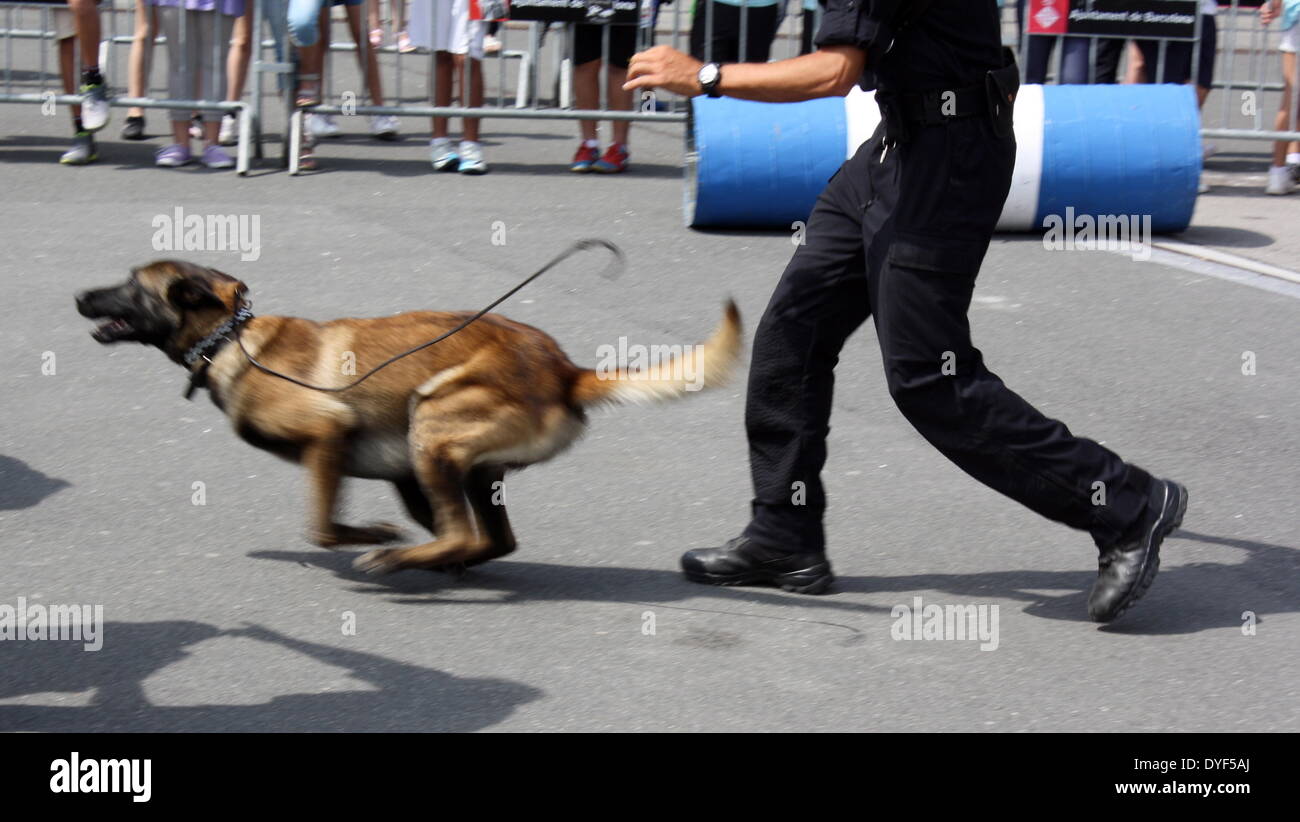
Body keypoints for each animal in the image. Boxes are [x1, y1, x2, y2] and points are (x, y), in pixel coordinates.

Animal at [73, 261, 743, 572]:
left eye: (130, 285)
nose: (79, 295)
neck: (230, 339)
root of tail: (564, 369)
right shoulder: (396, 474)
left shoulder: (327, 435)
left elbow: (322, 528)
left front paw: (372, 537)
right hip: (451, 465)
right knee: (488, 539)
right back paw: (444, 562)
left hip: (433, 431)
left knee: (463, 535)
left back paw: (398, 560)